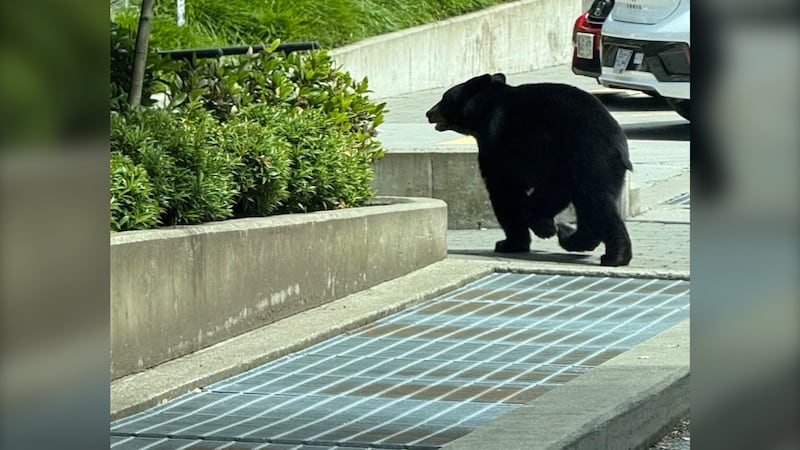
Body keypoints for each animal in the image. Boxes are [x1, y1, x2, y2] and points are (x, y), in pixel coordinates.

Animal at [425, 73, 633, 266]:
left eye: (444, 97)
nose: (428, 113)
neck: (484, 110)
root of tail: (617, 145)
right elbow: (551, 192)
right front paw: (544, 226)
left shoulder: (498, 142)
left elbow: (505, 190)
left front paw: (513, 241)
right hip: (604, 169)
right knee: (592, 204)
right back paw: (583, 240)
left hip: (588, 157)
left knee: (595, 202)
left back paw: (612, 254)